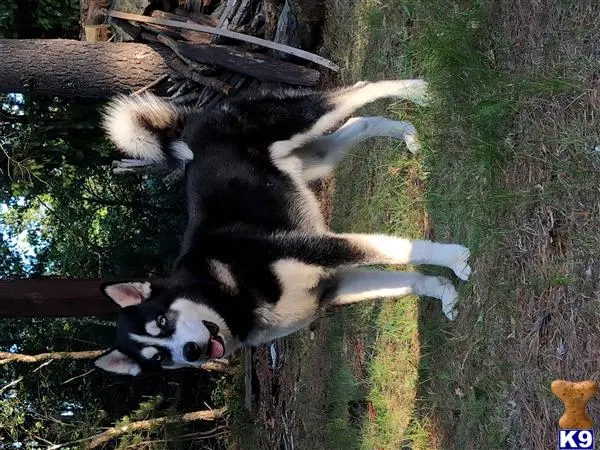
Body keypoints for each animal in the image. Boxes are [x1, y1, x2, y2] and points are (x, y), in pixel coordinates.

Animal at [94, 80, 472, 376]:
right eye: (159, 357)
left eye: (162, 322)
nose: (190, 351)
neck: (227, 293)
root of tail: (192, 122)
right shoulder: (333, 286)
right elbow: (408, 281)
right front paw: (442, 291)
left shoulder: (317, 248)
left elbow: (399, 250)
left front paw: (454, 260)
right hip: (314, 158)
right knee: (359, 122)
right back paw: (406, 133)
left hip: (301, 122)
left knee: (358, 91)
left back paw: (415, 90)